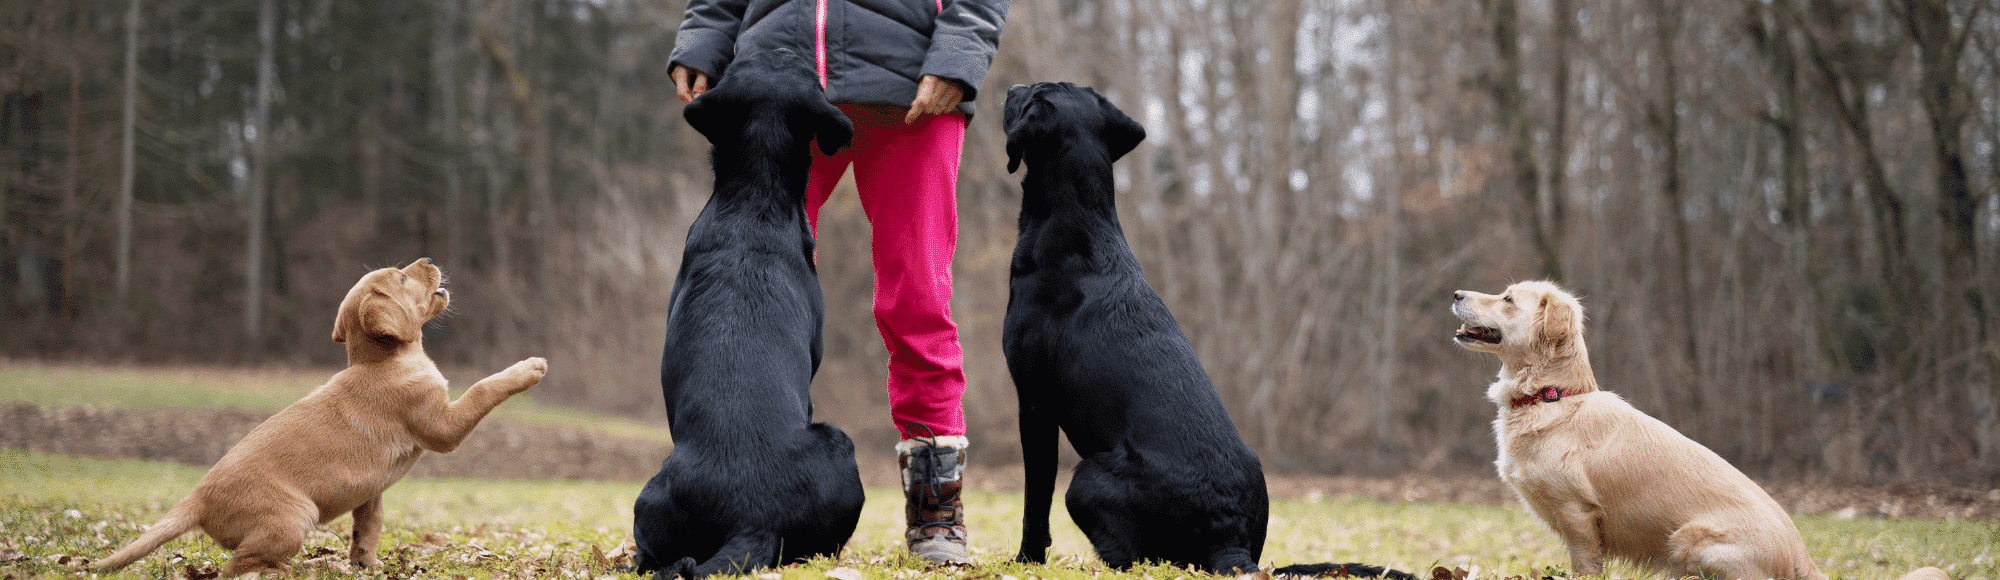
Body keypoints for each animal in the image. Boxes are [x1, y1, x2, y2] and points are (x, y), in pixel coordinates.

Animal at [94, 258, 548, 576]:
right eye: (402, 279)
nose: (430, 257)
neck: (383, 360)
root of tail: (197, 500)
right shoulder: (442, 428)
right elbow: (484, 388)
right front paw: (528, 369)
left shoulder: (371, 490)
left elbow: (369, 526)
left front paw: (367, 566)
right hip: (295, 517)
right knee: (238, 567)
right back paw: (289, 572)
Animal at [1008, 82, 1416, 580]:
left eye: (1031, 92)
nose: (1010, 87)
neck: (1079, 224)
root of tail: (1230, 541)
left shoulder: (1034, 403)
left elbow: (1035, 501)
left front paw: (1025, 561)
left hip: (1086, 479)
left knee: (1131, 558)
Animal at [1448, 280, 1944, 580]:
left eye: (1508, 299)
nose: (1455, 292)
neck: (1553, 396)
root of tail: (1801, 557)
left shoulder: (1579, 515)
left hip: (1690, 539)